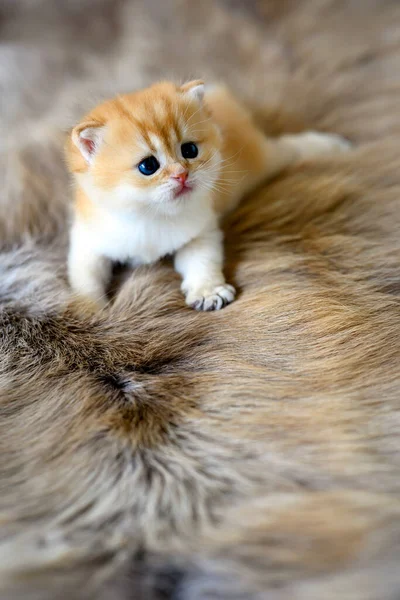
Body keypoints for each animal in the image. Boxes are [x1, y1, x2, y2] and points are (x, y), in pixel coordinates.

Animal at [65, 80, 350, 312]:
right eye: (148, 166)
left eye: (189, 150)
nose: (181, 175)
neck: (151, 216)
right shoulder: (89, 240)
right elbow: (85, 278)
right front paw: (88, 312)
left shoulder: (201, 233)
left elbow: (202, 262)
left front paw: (208, 292)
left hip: (263, 162)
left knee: (290, 148)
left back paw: (333, 146)